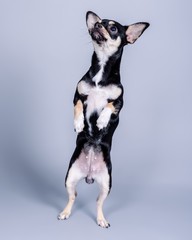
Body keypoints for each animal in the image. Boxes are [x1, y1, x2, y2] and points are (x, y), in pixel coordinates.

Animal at [57, 11, 149, 229]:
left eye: (113, 28)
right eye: (98, 23)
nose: (98, 25)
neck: (101, 71)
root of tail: (89, 175)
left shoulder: (120, 103)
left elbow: (108, 106)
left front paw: (100, 122)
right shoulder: (77, 95)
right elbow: (78, 106)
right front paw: (79, 123)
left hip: (106, 184)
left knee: (99, 203)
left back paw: (101, 219)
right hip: (70, 177)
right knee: (73, 196)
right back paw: (65, 212)